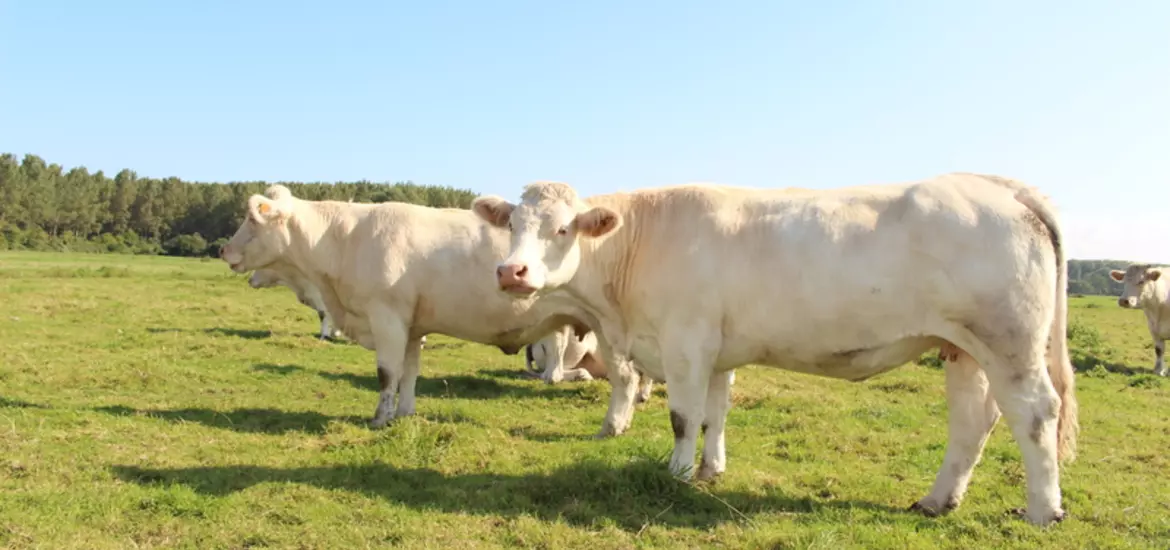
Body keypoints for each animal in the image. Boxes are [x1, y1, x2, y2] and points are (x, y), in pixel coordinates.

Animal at [472, 174, 1076, 526]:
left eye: (563, 228)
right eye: (515, 224)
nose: (510, 272)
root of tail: (1000, 184)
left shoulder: (685, 339)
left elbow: (683, 415)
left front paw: (677, 474)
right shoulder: (717, 348)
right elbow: (715, 414)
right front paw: (710, 471)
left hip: (1009, 342)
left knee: (1035, 415)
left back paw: (1044, 511)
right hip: (964, 348)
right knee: (973, 421)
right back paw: (937, 501)